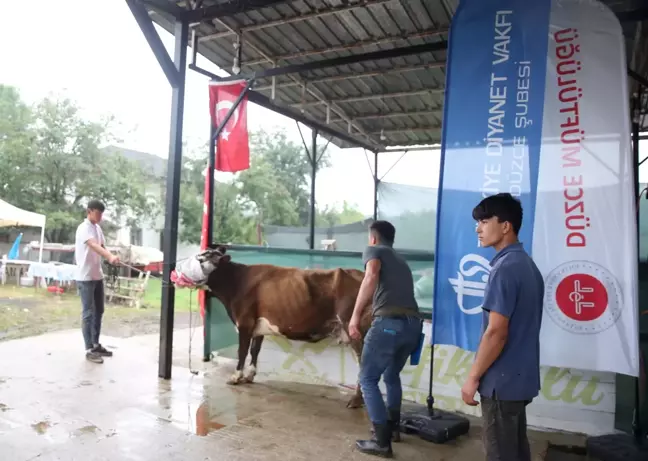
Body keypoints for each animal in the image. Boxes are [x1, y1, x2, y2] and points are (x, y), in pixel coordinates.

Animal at [185, 246, 372, 408]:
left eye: (202, 260)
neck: (236, 282)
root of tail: (360, 274)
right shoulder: (258, 326)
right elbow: (255, 350)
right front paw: (249, 376)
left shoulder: (244, 322)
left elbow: (242, 351)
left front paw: (235, 377)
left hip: (354, 329)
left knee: (364, 364)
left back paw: (356, 401)